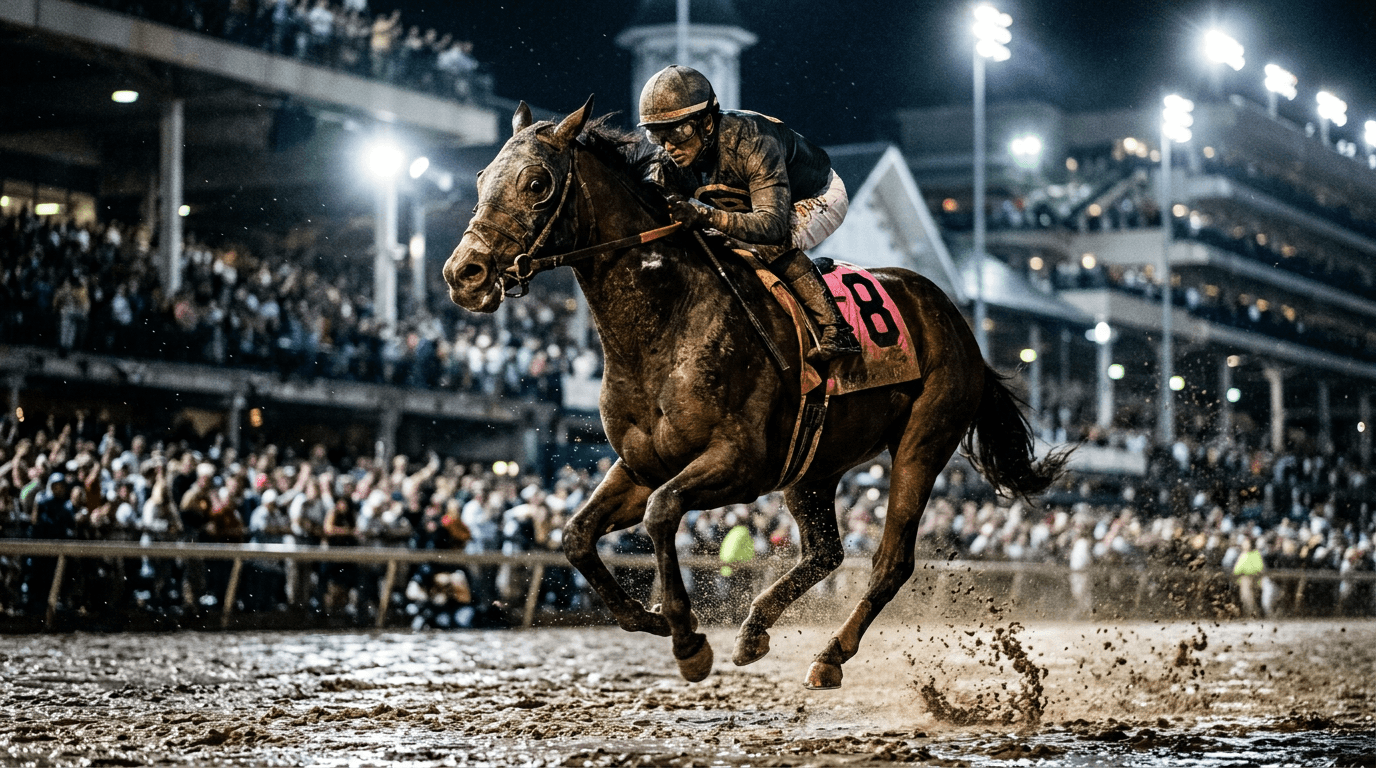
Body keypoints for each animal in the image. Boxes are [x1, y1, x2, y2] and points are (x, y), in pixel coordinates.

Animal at [444, 96, 1067, 689]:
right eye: (481, 177)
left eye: (536, 182)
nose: (462, 274)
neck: (666, 323)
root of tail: (959, 325)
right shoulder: (642, 464)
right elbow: (576, 535)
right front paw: (649, 617)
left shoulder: (741, 462)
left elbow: (662, 512)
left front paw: (687, 638)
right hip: (814, 464)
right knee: (826, 550)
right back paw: (756, 628)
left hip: (923, 440)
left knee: (890, 561)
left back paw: (829, 656)